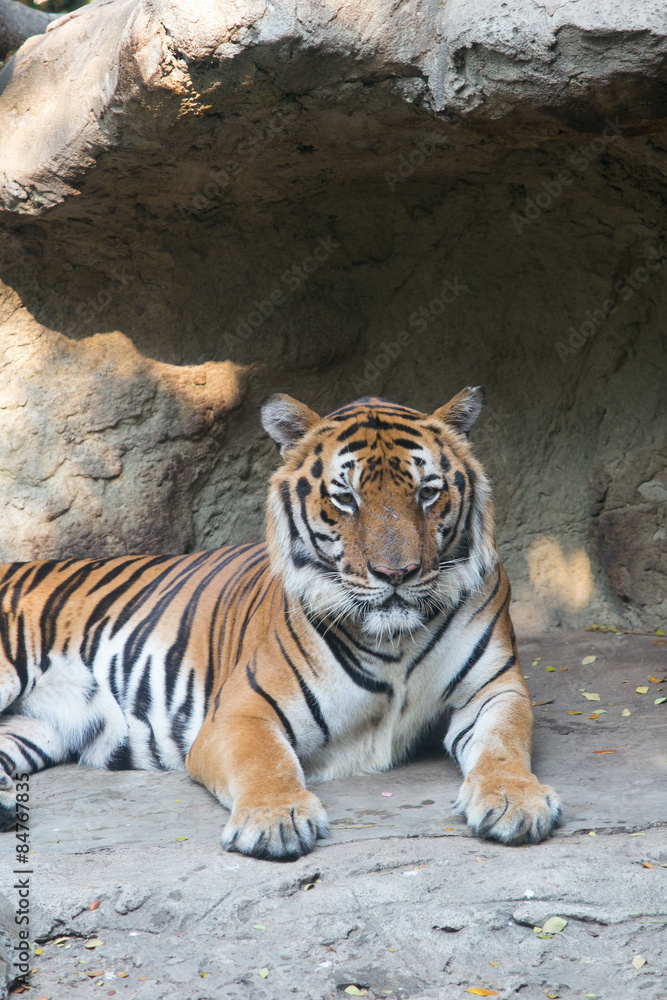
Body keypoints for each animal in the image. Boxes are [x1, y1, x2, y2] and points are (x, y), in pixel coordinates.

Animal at [0, 387, 561, 859]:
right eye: (345, 498)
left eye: (427, 492)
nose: (396, 574)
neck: (395, 640)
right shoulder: (240, 712)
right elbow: (265, 761)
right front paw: (275, 819)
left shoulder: (495, 689)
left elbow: (503, 745)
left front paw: (516, 802)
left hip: (33, 727)